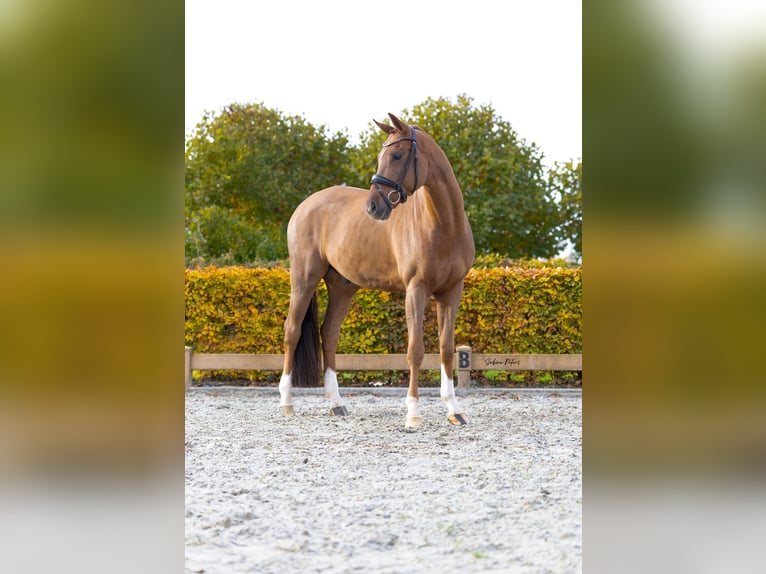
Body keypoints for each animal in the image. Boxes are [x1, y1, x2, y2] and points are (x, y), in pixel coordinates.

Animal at [278, 113, 475, 429]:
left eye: (396, 155)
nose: (372, 206)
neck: (443, 225)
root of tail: (306, 205)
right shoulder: (415, 290)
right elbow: (415, 350)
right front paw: (413, 413)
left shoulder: (451, 292)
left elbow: (446, 349)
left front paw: (454, 410)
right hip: (304, 279)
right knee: (292, 331)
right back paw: (286, 402)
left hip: (342, 287)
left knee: (329, 334)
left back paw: (336, 403)